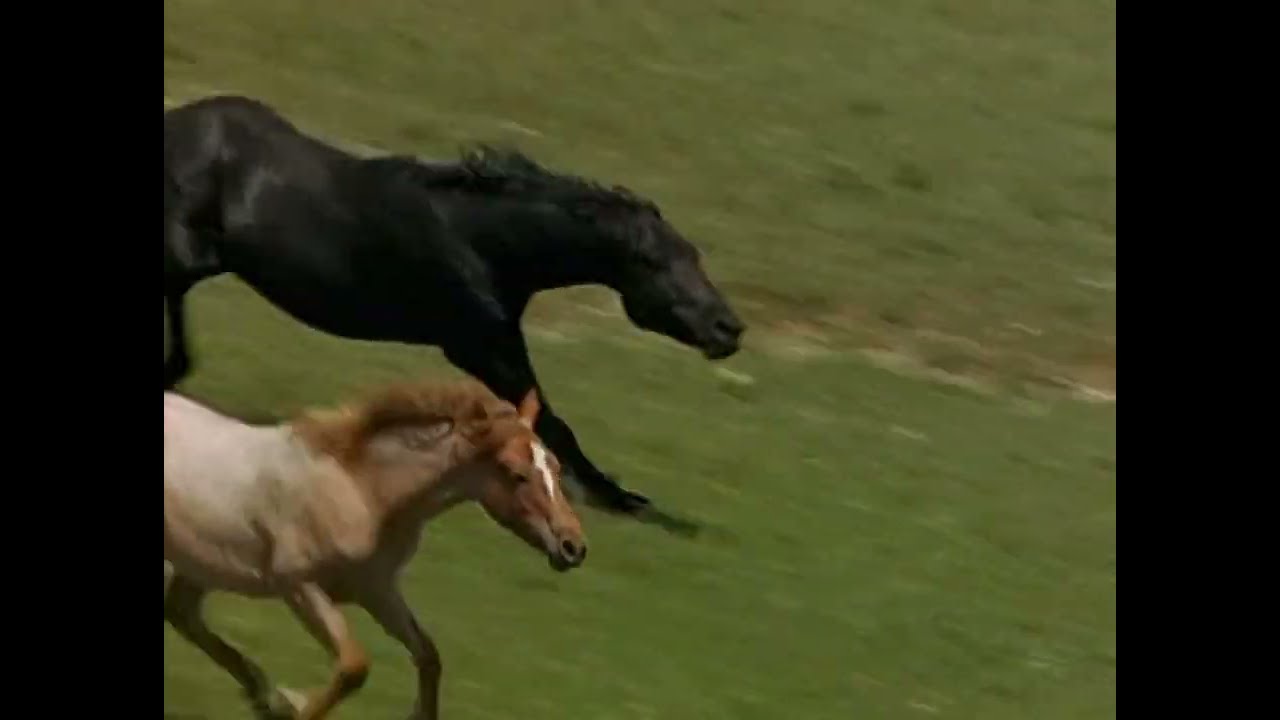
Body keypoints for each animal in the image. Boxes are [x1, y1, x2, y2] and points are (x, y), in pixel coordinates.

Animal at [164, 94, 746, 517]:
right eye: (655, 261)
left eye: (694, 255)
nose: (729, 328)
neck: (483, 240)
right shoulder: (481, 345)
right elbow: (552, 420)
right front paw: (617, 497)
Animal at [164, 379, 586, 720]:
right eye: (514, 473)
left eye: (556, 467)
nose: (574, 547)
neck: (362, 490)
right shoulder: (298, 585)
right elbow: (355, 666)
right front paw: (299, 708)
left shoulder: (377, 589)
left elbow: (428, 656)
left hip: (203, 565)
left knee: (182, 613)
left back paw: (269, 698)